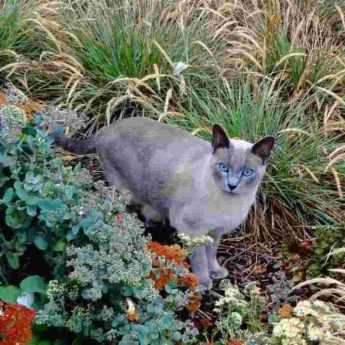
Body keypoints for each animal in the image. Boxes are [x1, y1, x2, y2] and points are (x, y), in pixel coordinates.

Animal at [54, 116, 274, 290]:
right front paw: (203, 282)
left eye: (247, 173)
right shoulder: (192, 230)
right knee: (118, 214)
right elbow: (200, 258)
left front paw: (216, 272)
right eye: (223, 168)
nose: (232, 185)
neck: (229, 204)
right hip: (123, 192)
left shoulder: (215, 232)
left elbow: (211, 253)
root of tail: (106, 128)